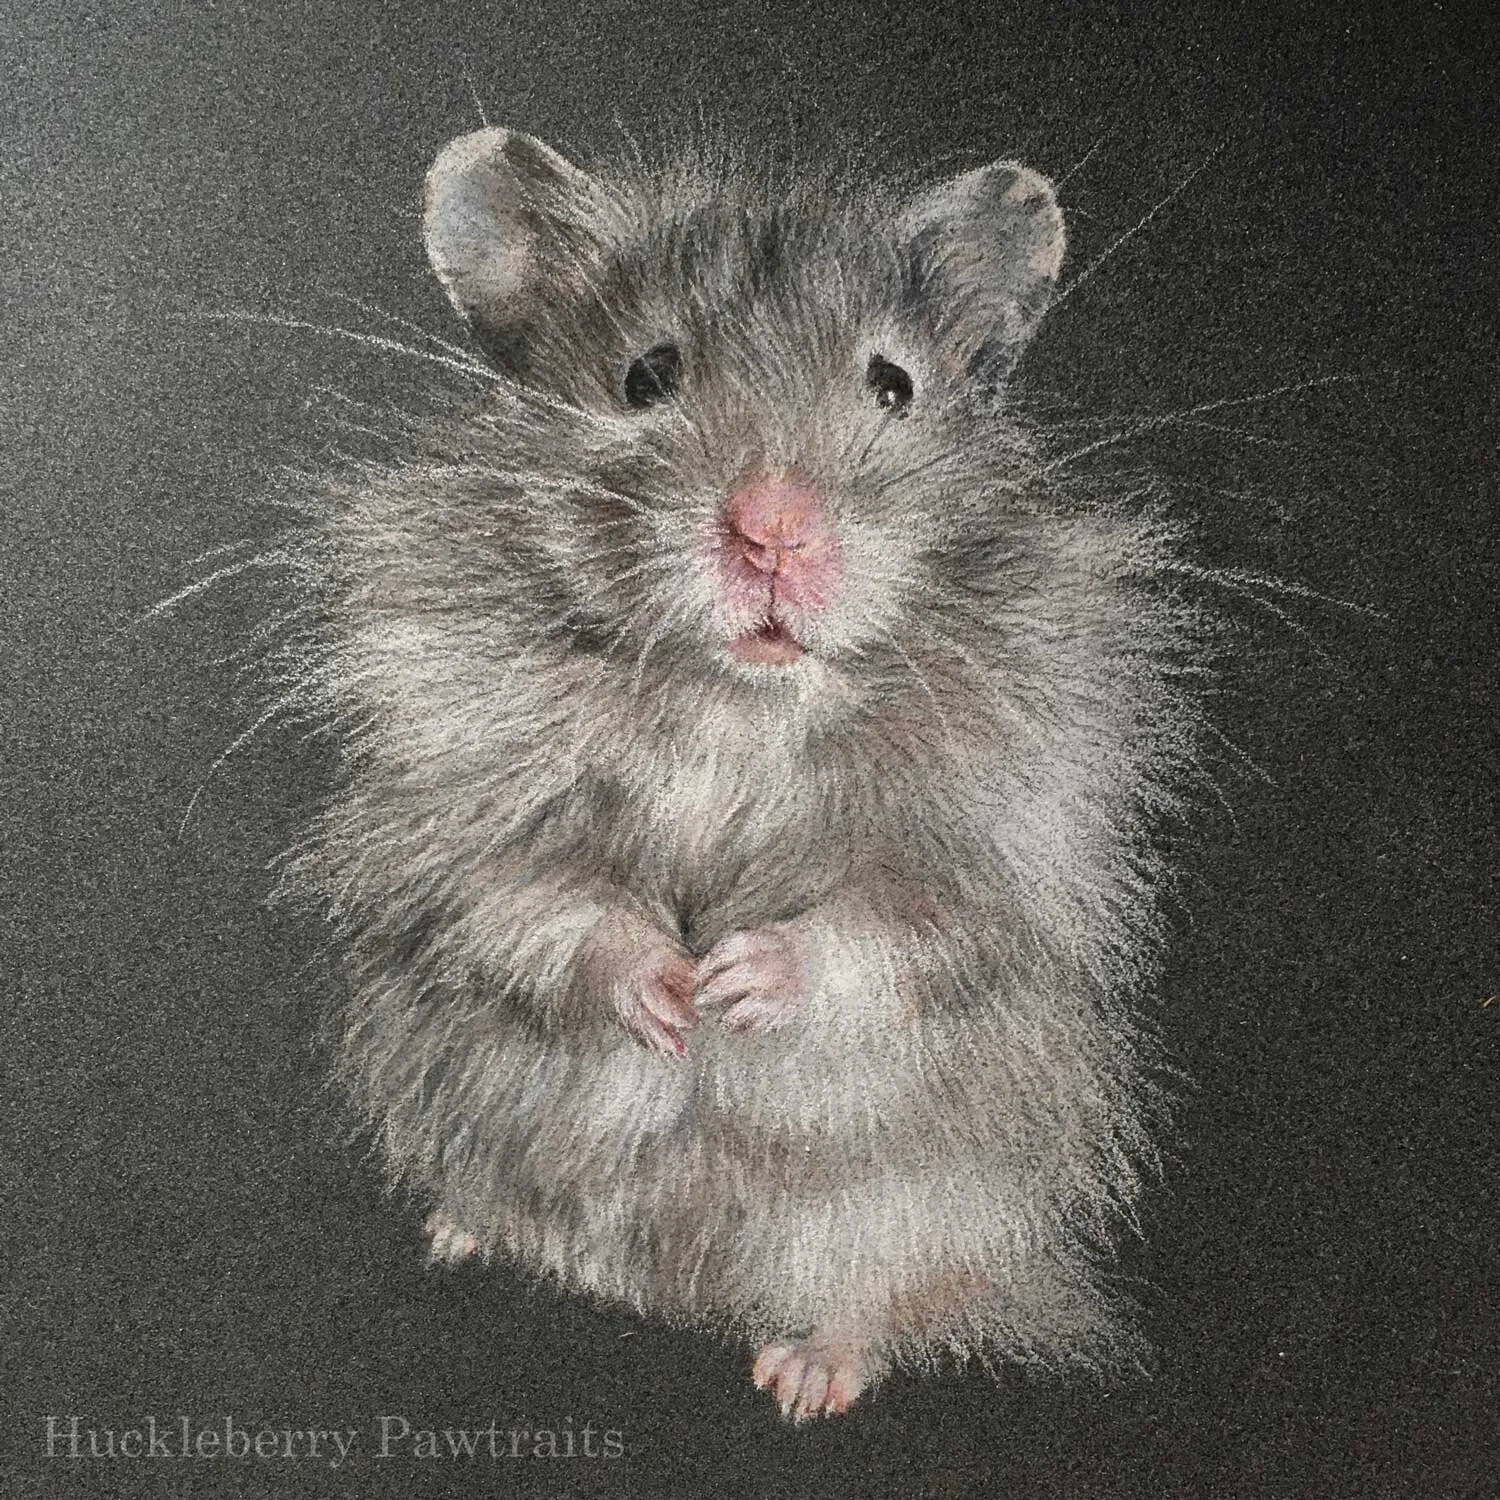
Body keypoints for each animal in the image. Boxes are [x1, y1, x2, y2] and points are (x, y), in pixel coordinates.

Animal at [287, 125, 1207, 1421]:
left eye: (893, 384)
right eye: (646, 375)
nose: (772, 527)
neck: (738, 699)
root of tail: (668, 1286)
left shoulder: (996, 845)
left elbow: (894, 927)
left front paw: (734, 981)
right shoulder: (457, 802)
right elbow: (544, 902)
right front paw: (673, 992)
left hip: (923, 1211)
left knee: (889, 1294)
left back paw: (807, 1374)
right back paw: (468, 1231)